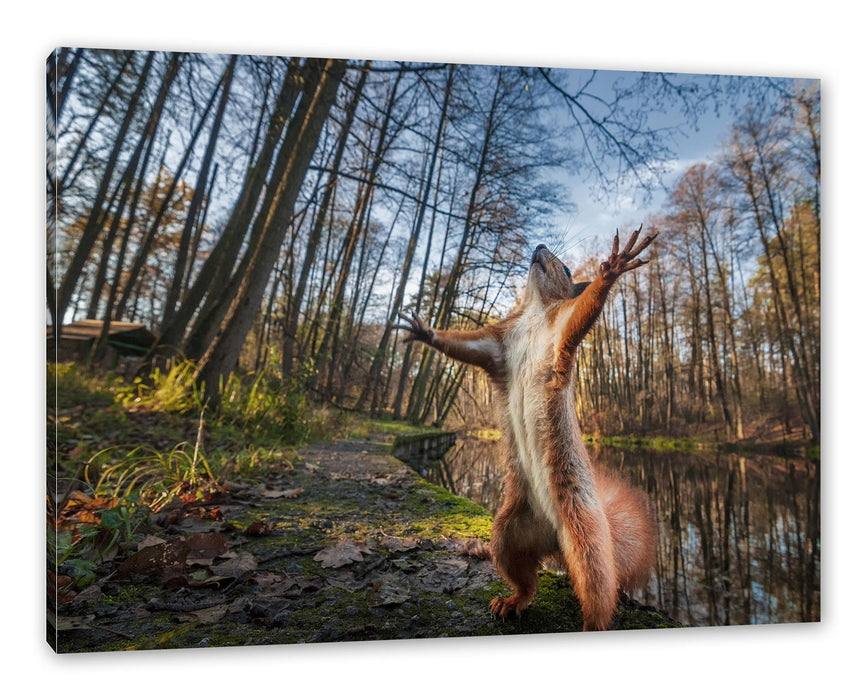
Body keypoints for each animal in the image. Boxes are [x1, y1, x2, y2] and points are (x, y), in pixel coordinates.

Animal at [396, 227, 656, 632]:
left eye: (566, 268)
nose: (539, 246)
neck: (534, 311)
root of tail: (554, 541)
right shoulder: (497, 345)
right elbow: (464, 346)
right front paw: (425, 332)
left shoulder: (562, 328)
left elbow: (586, 309)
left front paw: (612, 268)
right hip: (508, 531)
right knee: (525, 578)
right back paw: (512, 601)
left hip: (587, 538)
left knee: (597, 591)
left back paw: (590, 624)